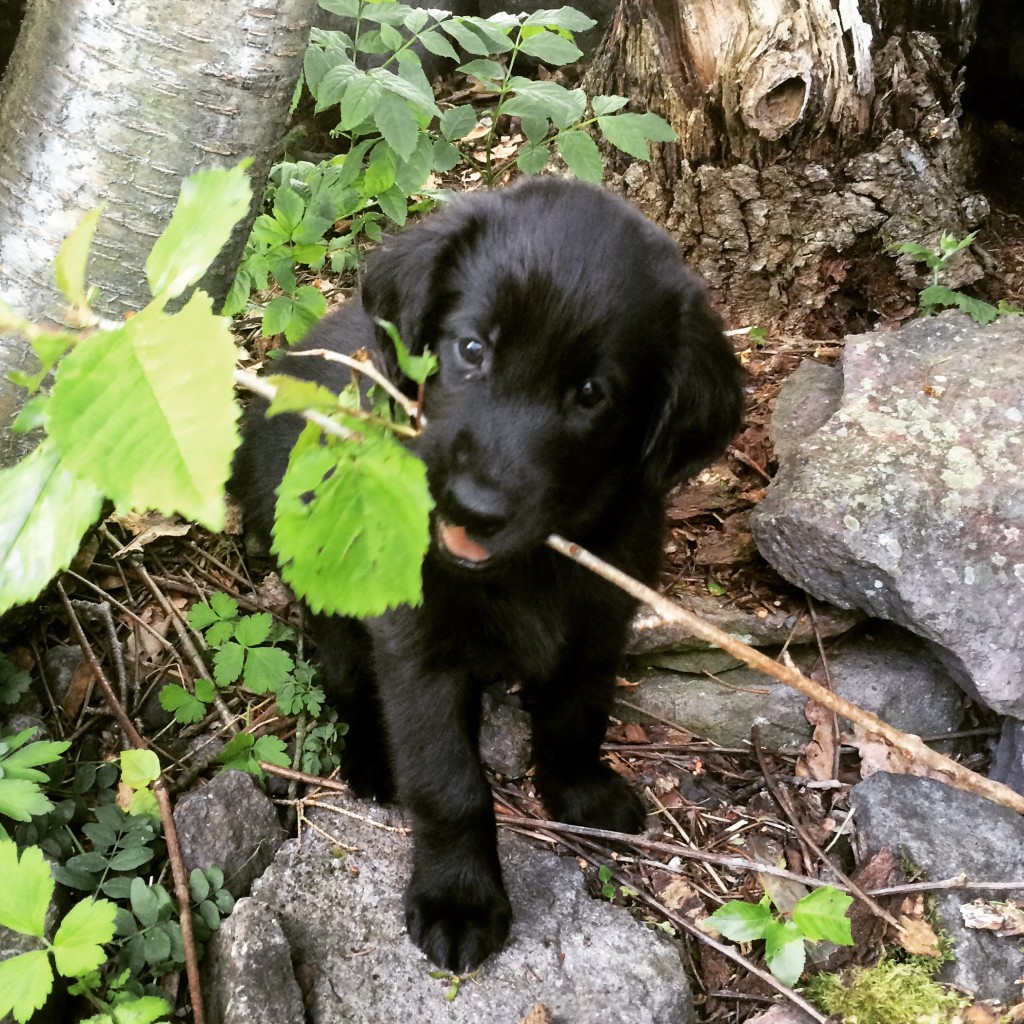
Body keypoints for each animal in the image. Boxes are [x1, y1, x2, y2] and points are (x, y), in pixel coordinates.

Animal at [232, 180, 745, 970]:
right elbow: (449, 785)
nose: (474, 507)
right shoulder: (419, 649)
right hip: (330, 596)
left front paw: (580, 791)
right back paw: (372, 758)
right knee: (345, 677)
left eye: (591, 393)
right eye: (471, 349)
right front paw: (460, 897)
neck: (526, 567)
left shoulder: (601, 618)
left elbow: (578, 713)